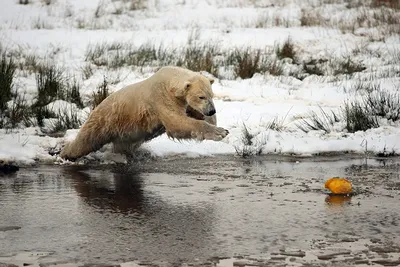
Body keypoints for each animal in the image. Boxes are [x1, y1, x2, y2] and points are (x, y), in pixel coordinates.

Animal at [59, 66, 228, 161]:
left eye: (211, 95)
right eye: (201, 96)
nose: (211, 110)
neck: (169, 82)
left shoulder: (181, 101)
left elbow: (190, 114)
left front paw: (212, 120)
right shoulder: (160, 98)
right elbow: (176, 123)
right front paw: (220, 132)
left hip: (124, 131)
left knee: (123, 145)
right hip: (105, 120)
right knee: (86, 140)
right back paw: (65, 154)